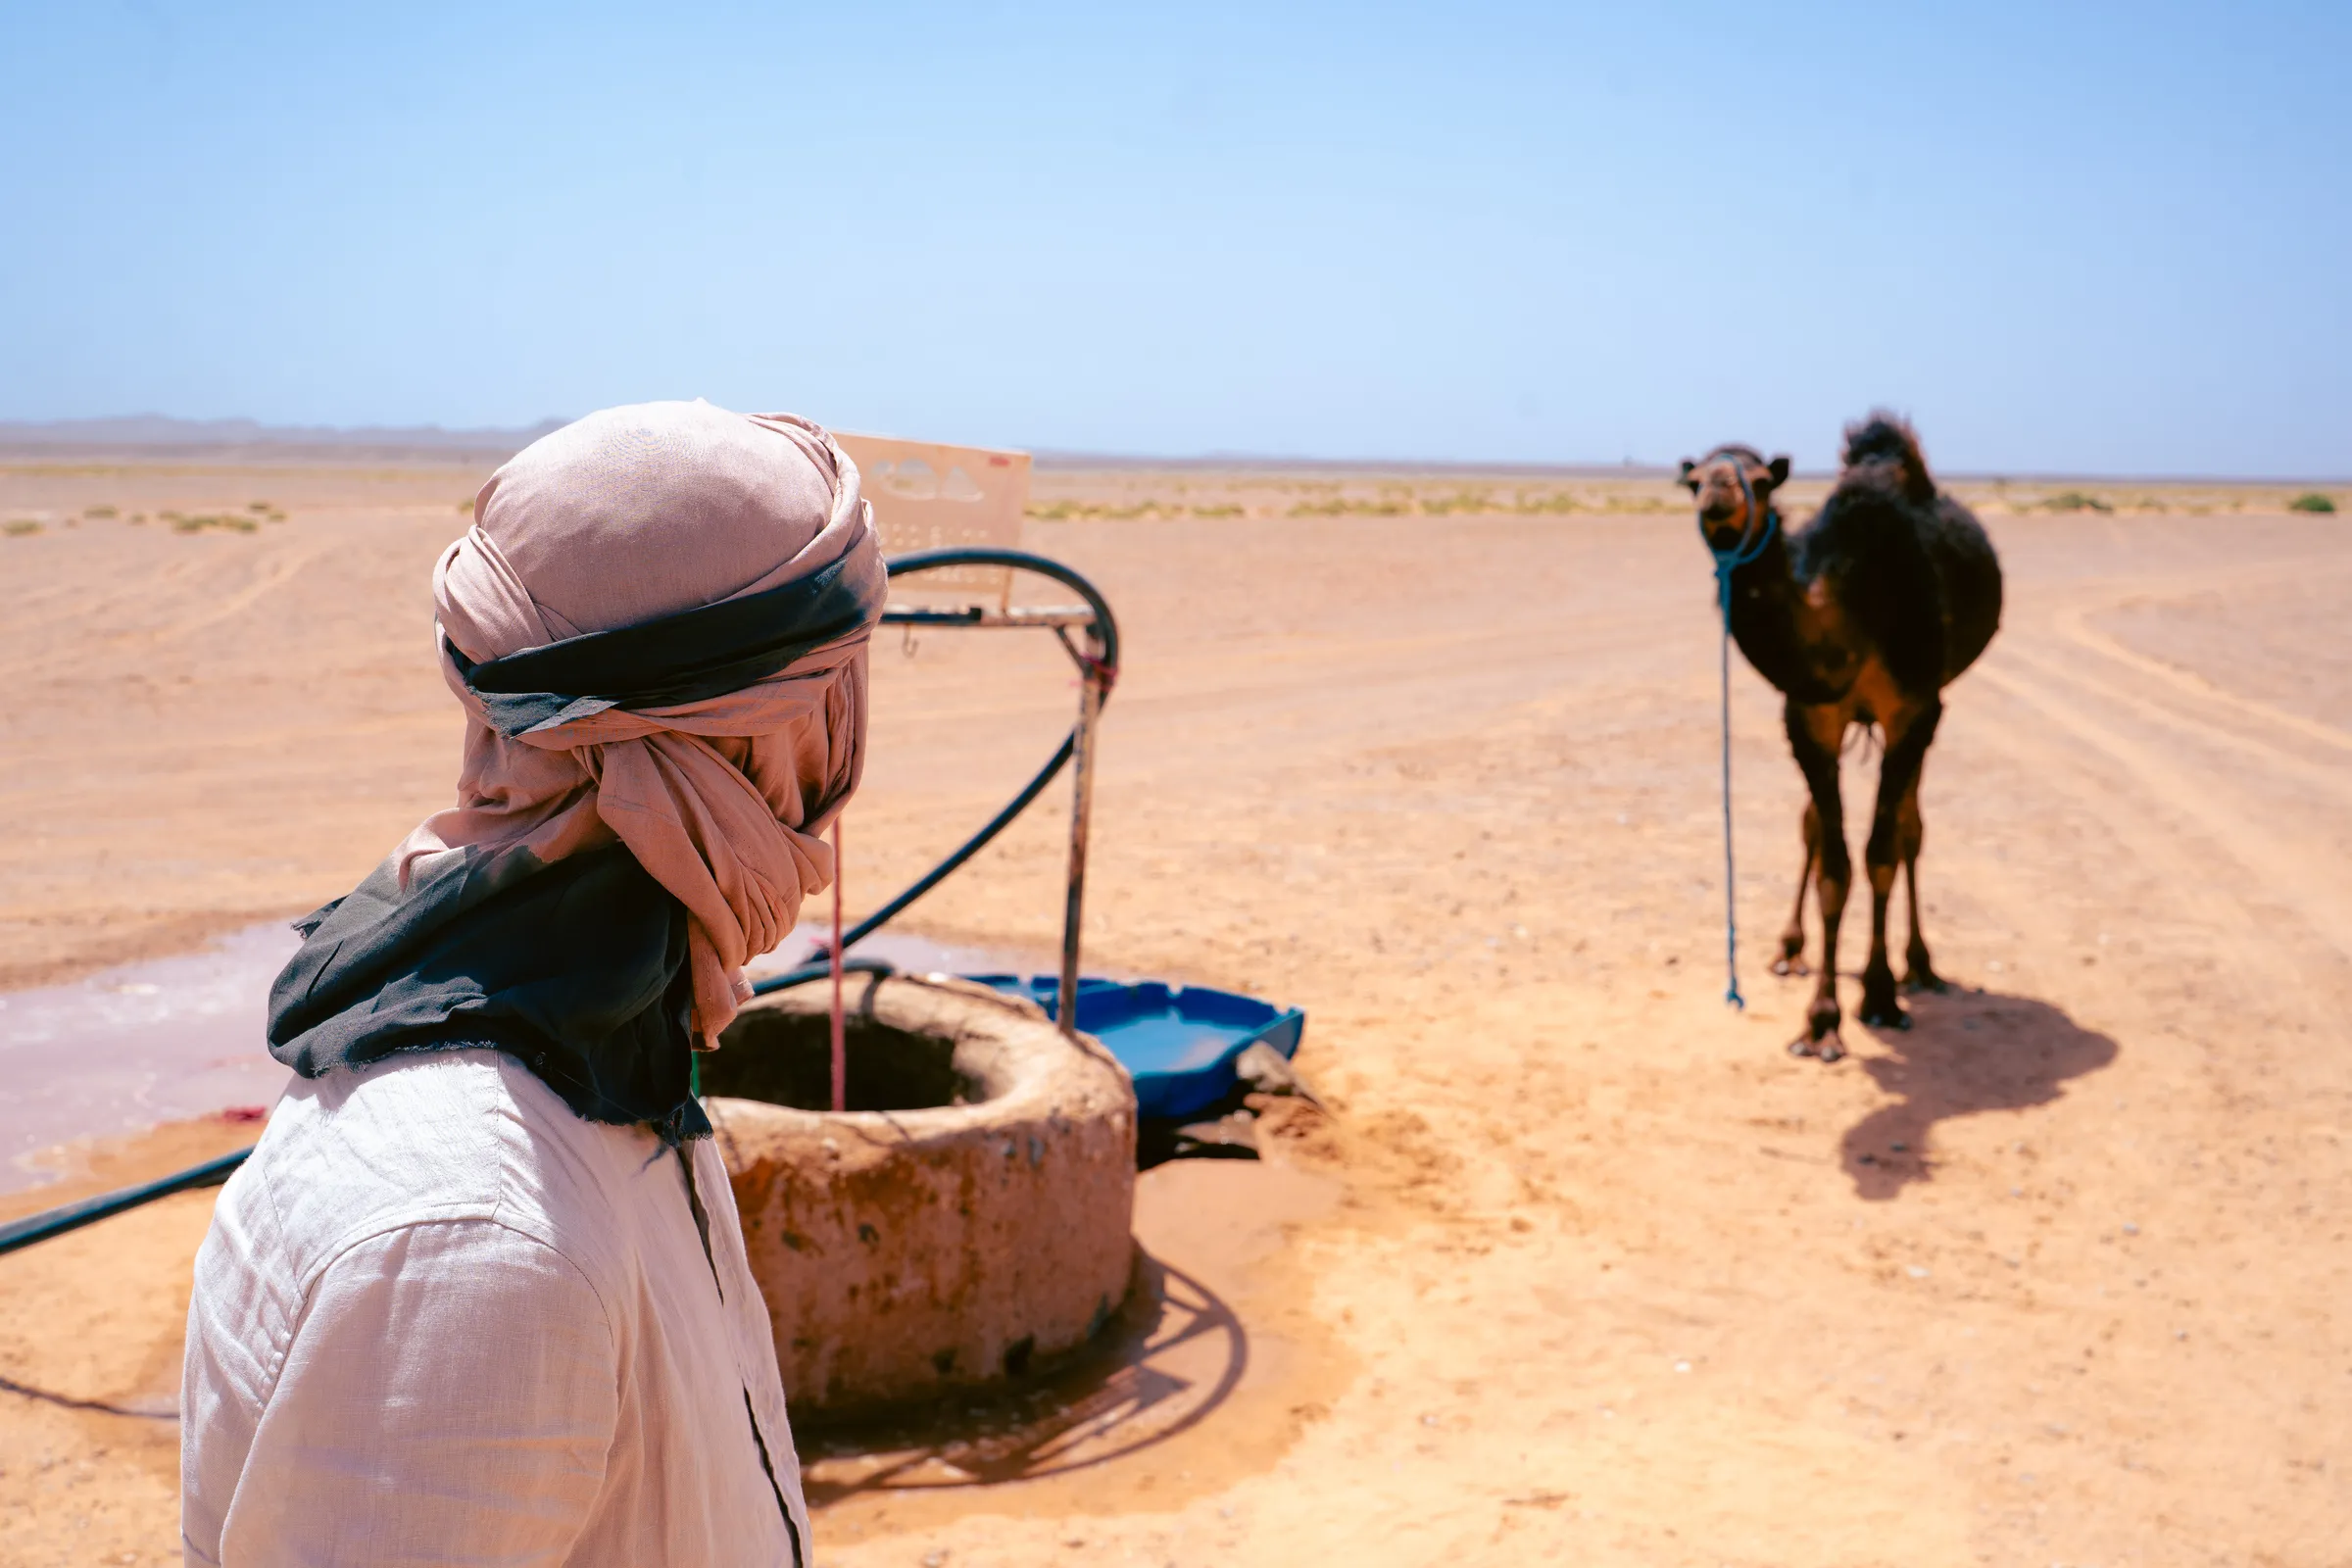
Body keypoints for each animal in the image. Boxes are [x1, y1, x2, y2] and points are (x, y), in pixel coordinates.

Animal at [1679, 413, 2003, 1062]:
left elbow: (1881, 853)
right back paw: (1790, 949)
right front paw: (1822, 1021)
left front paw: (1878, 996)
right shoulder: (1809, 718)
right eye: (1693, 480)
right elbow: (1832, 862)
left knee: (1909, 831)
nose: (1718, 494)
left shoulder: (1914, 709)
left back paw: (1919, 966)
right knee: (1813, 829)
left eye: (1761, 480)